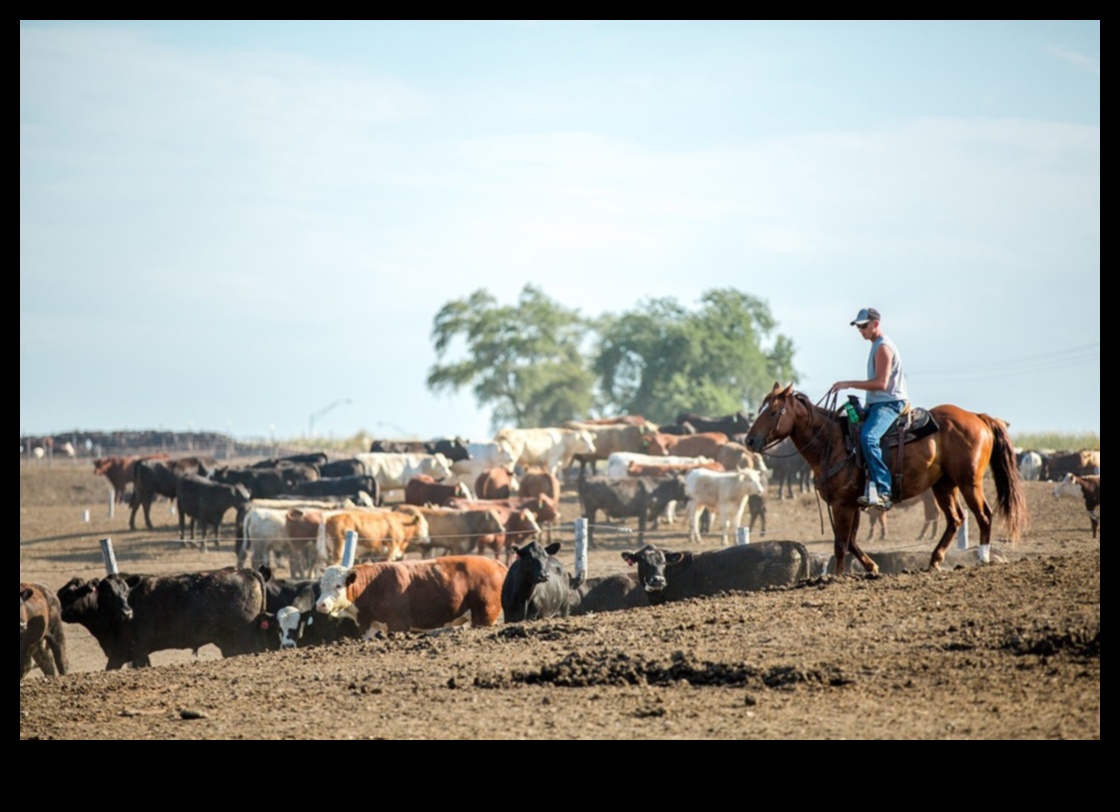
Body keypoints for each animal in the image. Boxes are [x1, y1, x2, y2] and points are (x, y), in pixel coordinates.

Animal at [59, 566, 271, 667]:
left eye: (126, 591)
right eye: (108, 594)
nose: (127, 613)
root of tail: (245, 570)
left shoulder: (132, 652)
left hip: (244, 641)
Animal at [315, 553, 508, 636]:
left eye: (338, 586)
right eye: (321, 586)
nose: (320, 605)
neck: (373, 586)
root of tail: (496, 563)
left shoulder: (398, 625)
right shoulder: (367, 628)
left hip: (484, 617)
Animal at [743, 383, 1025, 573]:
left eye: (772, 412)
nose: (750, 440)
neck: (832, 443)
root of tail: (978, 417)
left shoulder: (842, 505)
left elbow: (840, 544)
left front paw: (836, 578)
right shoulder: (852, 503)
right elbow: (851, 541)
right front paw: (872, 568)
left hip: (969, 482)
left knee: (984, 515)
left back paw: (983, 558)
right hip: (944, 484)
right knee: (955, 519)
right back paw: (934, 560)